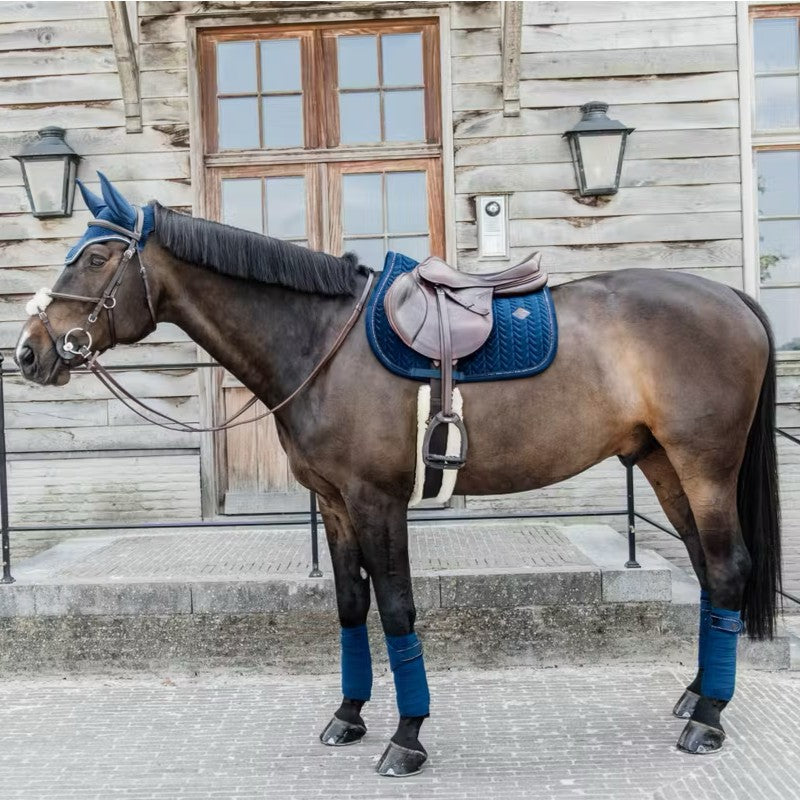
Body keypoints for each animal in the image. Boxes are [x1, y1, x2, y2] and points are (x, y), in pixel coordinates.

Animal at [14, 174, 780, 775]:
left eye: (97, 256)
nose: (28, 351)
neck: (322, 342)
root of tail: (733, 299)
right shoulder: (334, 504)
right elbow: (353, 608)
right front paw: (349, 714)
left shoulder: (377, 502)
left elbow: (398, 608)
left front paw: (408, 737)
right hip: (662, 465)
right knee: (706, 570)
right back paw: (696, 694)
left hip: (704, 467)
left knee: (728, 567)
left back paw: (708, 720)